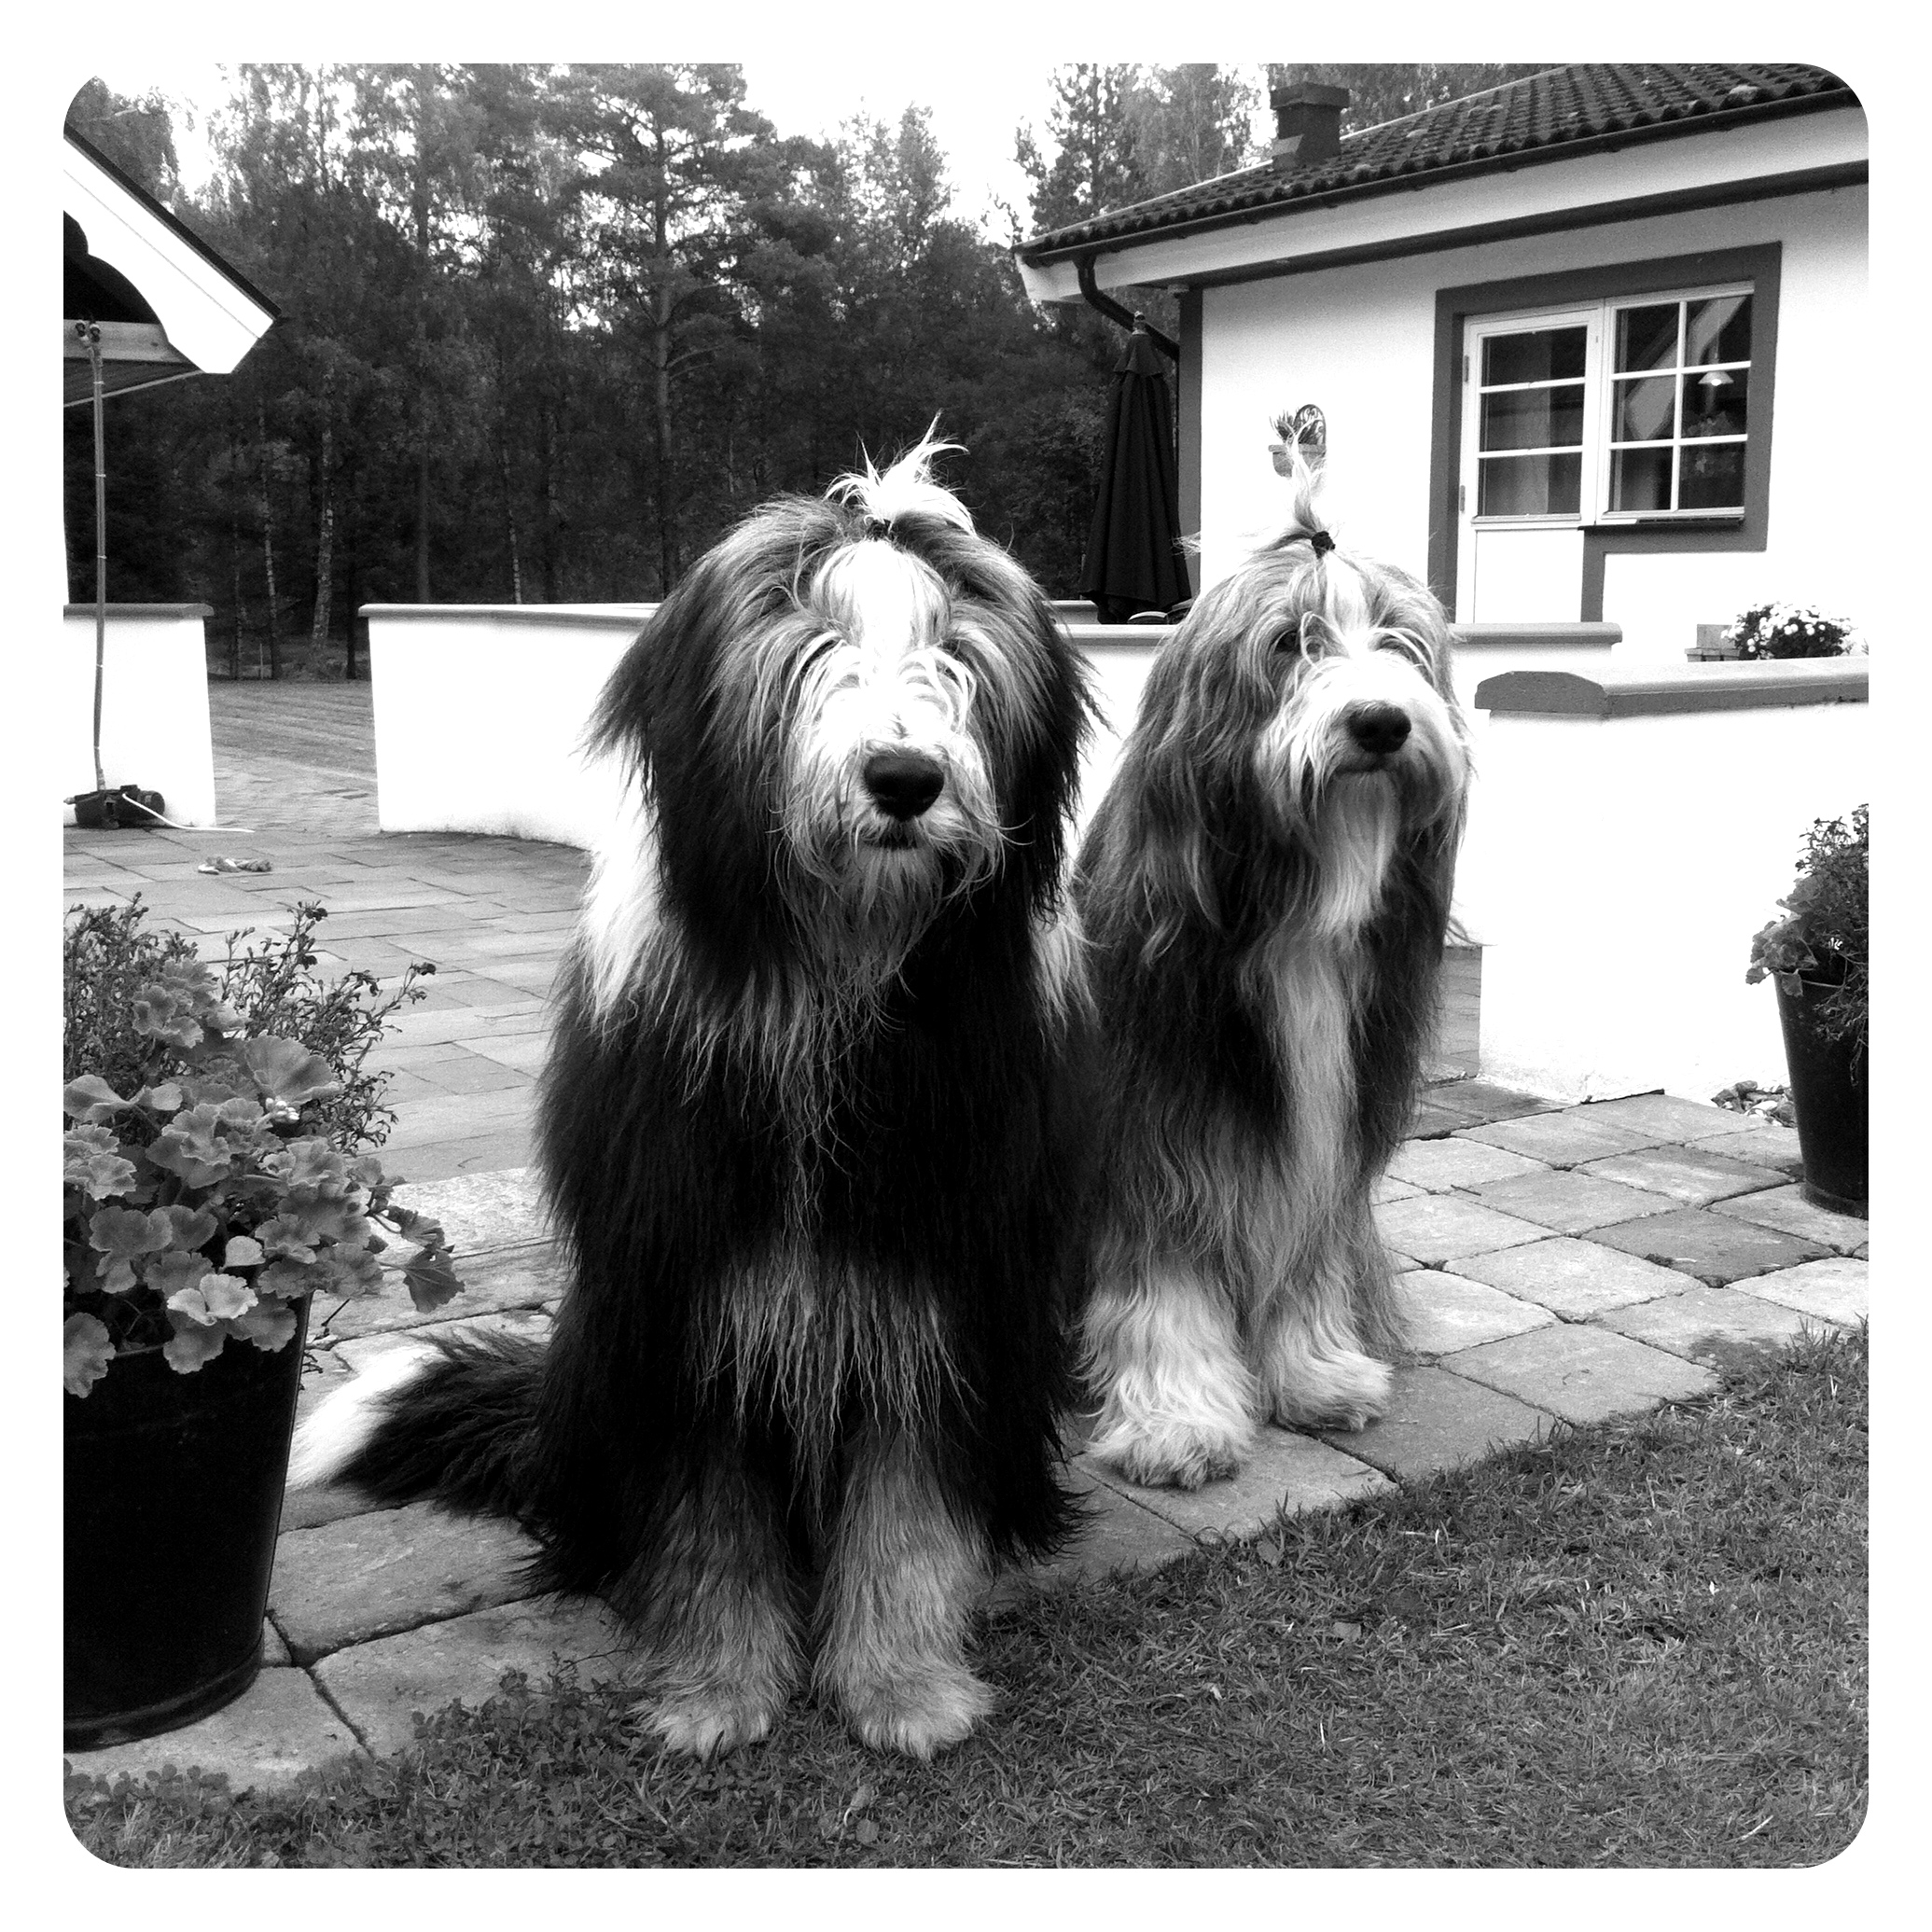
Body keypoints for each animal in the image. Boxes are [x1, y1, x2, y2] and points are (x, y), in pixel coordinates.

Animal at [290, 435, 1095, 1758]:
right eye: (808, 641)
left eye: (959, 654)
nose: (904, 778)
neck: (833, 980)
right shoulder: (683, 1290)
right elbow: (706, 1516)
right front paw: (718, 1690)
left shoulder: (935, 1282)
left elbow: (910, 1505)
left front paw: (901, 1684)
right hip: (602, 1361)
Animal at [1074, 456, 1470, 1490]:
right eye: (1292, 642)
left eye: (1402, 642)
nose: (1381, 722)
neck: (1293, 914)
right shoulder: (1153, 1138)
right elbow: (1162, 1282)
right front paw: (1177, 1421)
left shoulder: (1321, 1136)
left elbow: (1304, 1253)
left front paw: (1316, 1374)